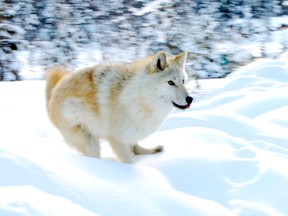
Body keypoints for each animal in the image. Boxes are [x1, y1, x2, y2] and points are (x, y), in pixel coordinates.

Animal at [45, 51, 194, 162]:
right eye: (170, 82)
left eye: (183, 81)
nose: (190, 99)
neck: (140, 97)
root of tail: (55, 90)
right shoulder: (116, 140)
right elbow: (129, 161)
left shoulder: (130, 130)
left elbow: (133, 147)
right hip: (90, 142)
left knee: (136, 147)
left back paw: (153, 150)